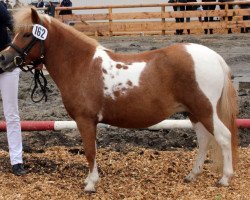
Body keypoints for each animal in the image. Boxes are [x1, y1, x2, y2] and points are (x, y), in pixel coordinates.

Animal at [0, 8, 238, 192]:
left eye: (27, 34)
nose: (3, 57)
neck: (82, 65)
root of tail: (214, 57)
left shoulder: (85, 120)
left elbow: (90, 151)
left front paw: (90, 184)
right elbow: (91, 151)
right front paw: (89, 180)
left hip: (205, 110)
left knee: (223, 137)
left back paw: (225, 178)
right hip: (194, 112)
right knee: (204, 140)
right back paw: (192, 175)